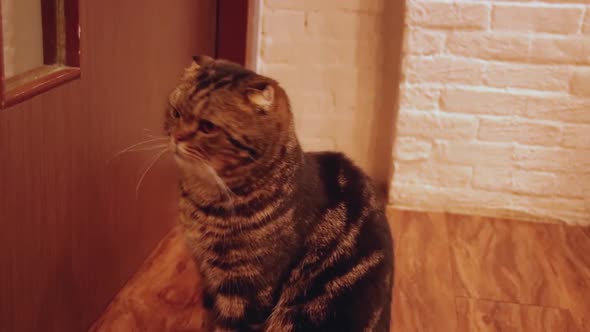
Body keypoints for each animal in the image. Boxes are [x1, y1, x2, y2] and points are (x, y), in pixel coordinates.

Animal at [166, 55, 396, 330]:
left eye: (208, 127)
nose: (176, 137)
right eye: (175, 112)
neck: (202, 200)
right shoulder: (206, 276)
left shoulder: (246, 291)